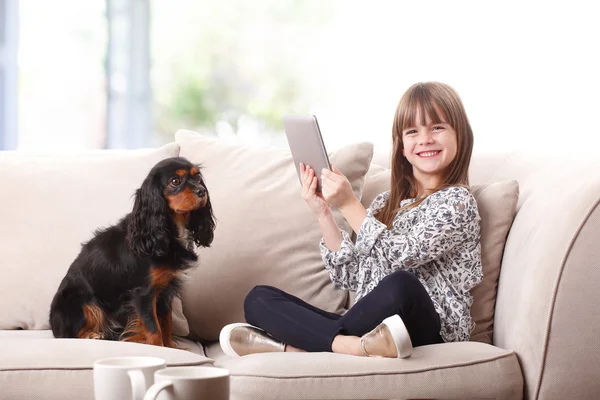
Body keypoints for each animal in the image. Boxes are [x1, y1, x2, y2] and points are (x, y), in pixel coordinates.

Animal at [49, 156, 214, 346]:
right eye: (175, 181)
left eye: (198, 178)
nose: (202, 191)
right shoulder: (143, 293)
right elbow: (153, 328)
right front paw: (158, 348)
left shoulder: (165, 290)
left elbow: (166, 324)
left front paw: (171, 348)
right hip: (80, 302)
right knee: (67, 334)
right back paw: (92, 334)